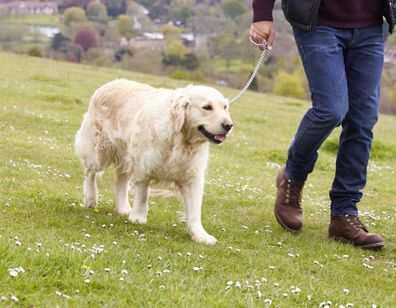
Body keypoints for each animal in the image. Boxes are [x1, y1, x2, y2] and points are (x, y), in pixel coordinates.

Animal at [75, 80, 232, 245]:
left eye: (224, 107)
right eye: (207, 107)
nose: (229, 125)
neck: (180, 139)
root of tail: (109, 83)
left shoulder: (193, 177)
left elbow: (195, 210)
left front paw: (200, 235)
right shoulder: (143, 167)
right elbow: (143, 195)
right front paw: (138, 217)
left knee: (120, 181)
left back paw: (124, 208)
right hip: (99, 151)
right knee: (90, 173)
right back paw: (91, 198)